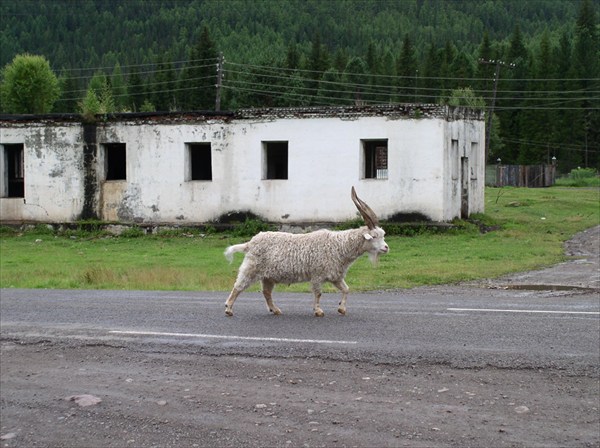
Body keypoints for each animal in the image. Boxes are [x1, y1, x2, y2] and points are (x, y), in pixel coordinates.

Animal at [224, 187, 390, 316]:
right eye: (375, 236)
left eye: (383, 234)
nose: (386, 247)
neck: (339, 245)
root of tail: (251, 242)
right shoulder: (317, 275)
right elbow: (318, 293)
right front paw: (318, 311)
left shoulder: (335, 276)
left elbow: (346, 289)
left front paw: (341, 309)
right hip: (251, 268)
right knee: (238, 286)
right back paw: (228, 309)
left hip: (268, 276)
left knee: (266, 292)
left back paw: (275, 310)